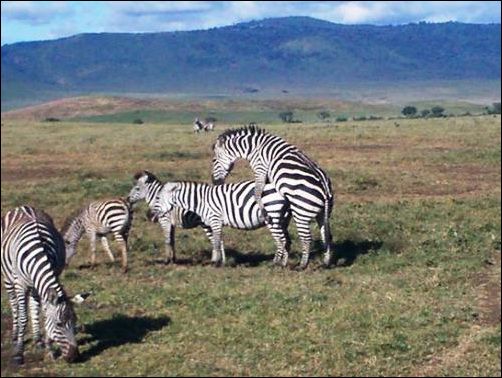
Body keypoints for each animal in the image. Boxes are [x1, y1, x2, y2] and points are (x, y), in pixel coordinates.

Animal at [0, 205, 87, 364]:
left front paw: (48, 349)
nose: (74, 357)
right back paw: (15, 335)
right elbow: (23, 317)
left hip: (34, 286)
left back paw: (37, 340)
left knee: (34, 306)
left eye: (75, 321)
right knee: (14, 305)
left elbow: (45, 314)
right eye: (59, 324)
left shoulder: (52, 277)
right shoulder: (20, 285)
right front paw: (19, 353)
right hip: (8, 279)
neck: (39, 253)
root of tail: (23, 206)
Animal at [153, 180, 294, 266]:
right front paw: (220, 261)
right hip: (284, 220)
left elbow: (215, 242)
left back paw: (275, 263)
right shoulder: (213, 223)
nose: (151, 216)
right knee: (287, 240)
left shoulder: (215, 219)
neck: (201, 201)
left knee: (281, 240)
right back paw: (284, 263)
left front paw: (215, 262)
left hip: (273, 215)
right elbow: (218, 240)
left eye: (158, 197)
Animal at [211, 125, 334, 270]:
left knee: (306, 238)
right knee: (326, 236)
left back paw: (302, 265)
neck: (253, 146)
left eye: (214, 160)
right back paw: (326, 262)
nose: (214, 182)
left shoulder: (260, 168)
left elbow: (257, 192)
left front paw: (263, 209)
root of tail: (325, 189)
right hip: (323, 214)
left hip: (301, 213)